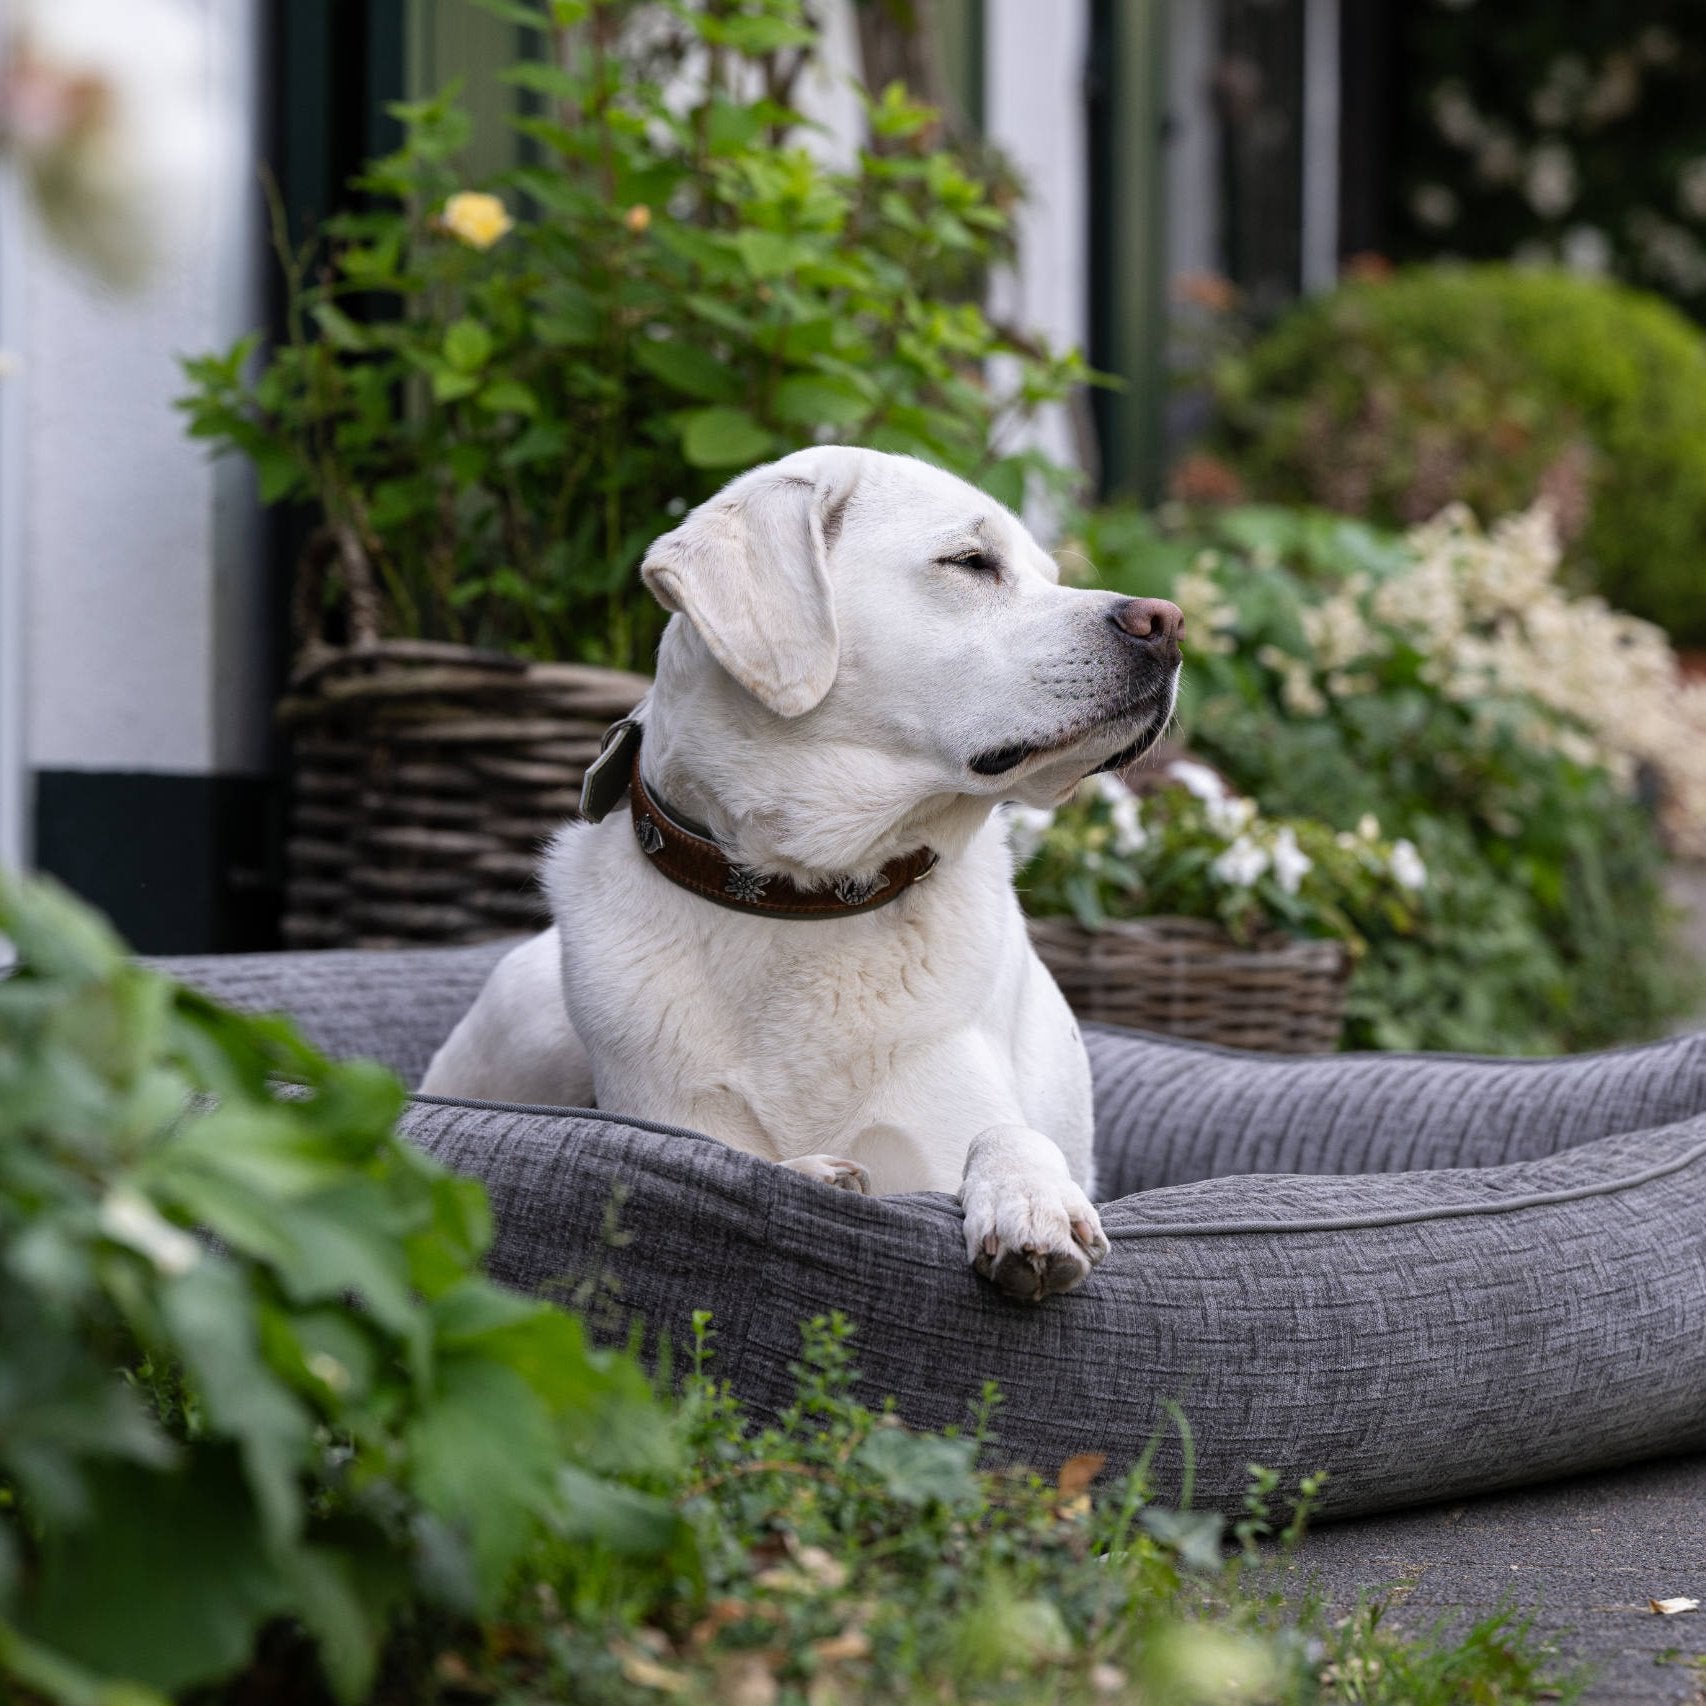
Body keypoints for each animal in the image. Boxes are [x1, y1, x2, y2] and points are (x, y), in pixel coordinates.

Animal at [419, 440, 1180, 1289]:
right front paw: (814, 1173)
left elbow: (1006, 1136)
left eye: (1050, 573)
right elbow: (733, 1154)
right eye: (971, 561)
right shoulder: (671, 1116)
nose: (1168, 622)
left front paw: (1030, 1201)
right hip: (527, 1013)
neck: (803, 894)